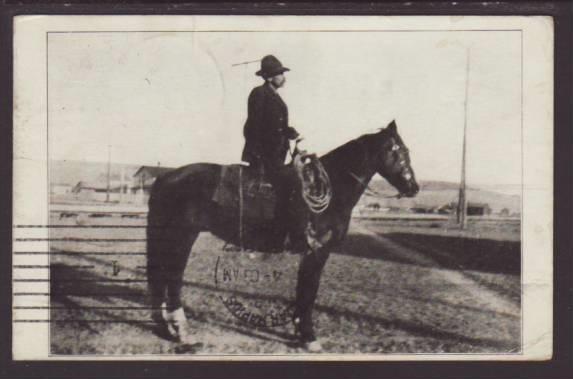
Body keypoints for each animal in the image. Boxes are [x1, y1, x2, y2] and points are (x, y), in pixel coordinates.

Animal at [145, 120, 418, 352]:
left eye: (406, 150)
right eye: (396, 151)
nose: (413, 187)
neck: (332, 187)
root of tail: (167, 177)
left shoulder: (311, 253)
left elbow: (304, 290)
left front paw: (300, 333)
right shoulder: (317, 251)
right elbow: (309, 291)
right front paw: (309, 338)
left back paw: (165, 326)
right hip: (182, 236)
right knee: (173, 277)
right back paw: (182, 331)